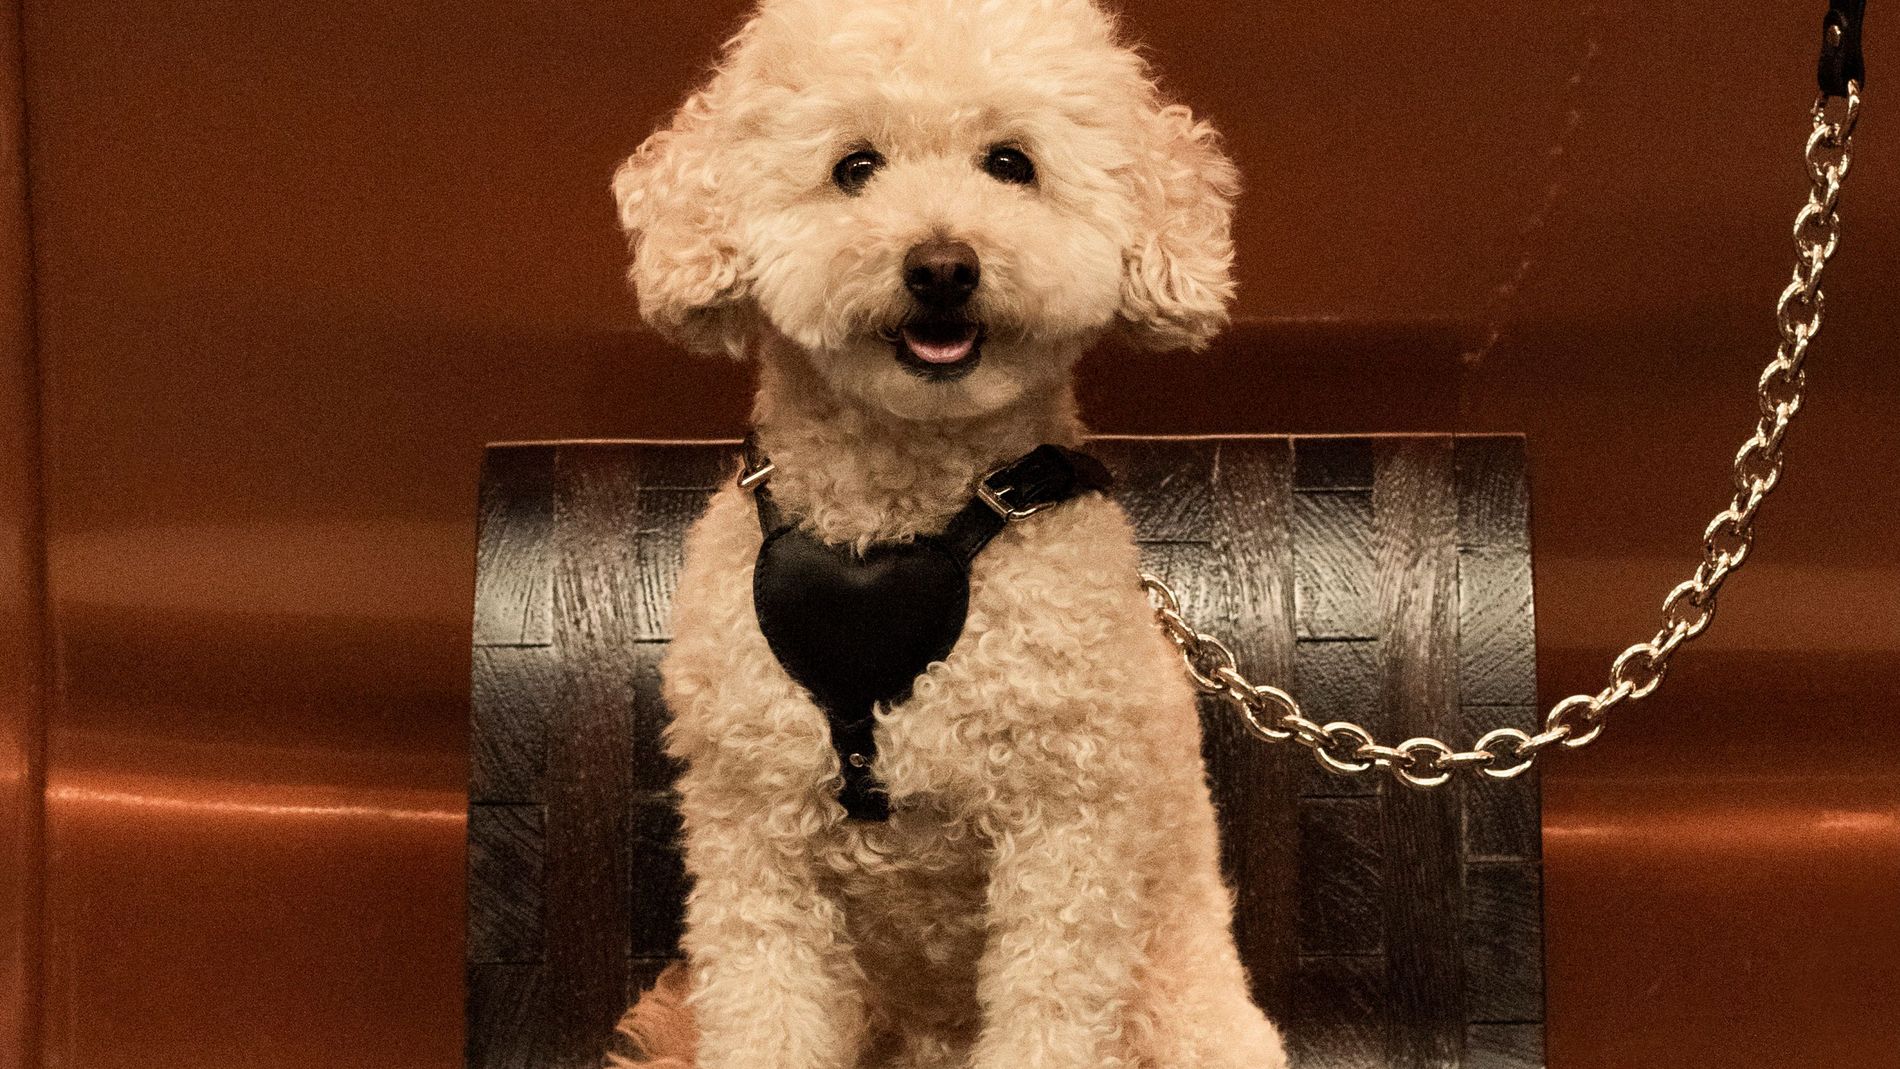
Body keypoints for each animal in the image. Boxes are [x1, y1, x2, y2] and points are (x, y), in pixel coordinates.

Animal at [609, 2, 1283, 1067]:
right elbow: (764, 1002)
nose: (941, 267)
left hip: (1189, 1008)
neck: (894, 521)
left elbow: (1051, 1007)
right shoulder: (752, 831)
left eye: (1010, 163)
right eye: (854, 166)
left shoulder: (1066, 835)